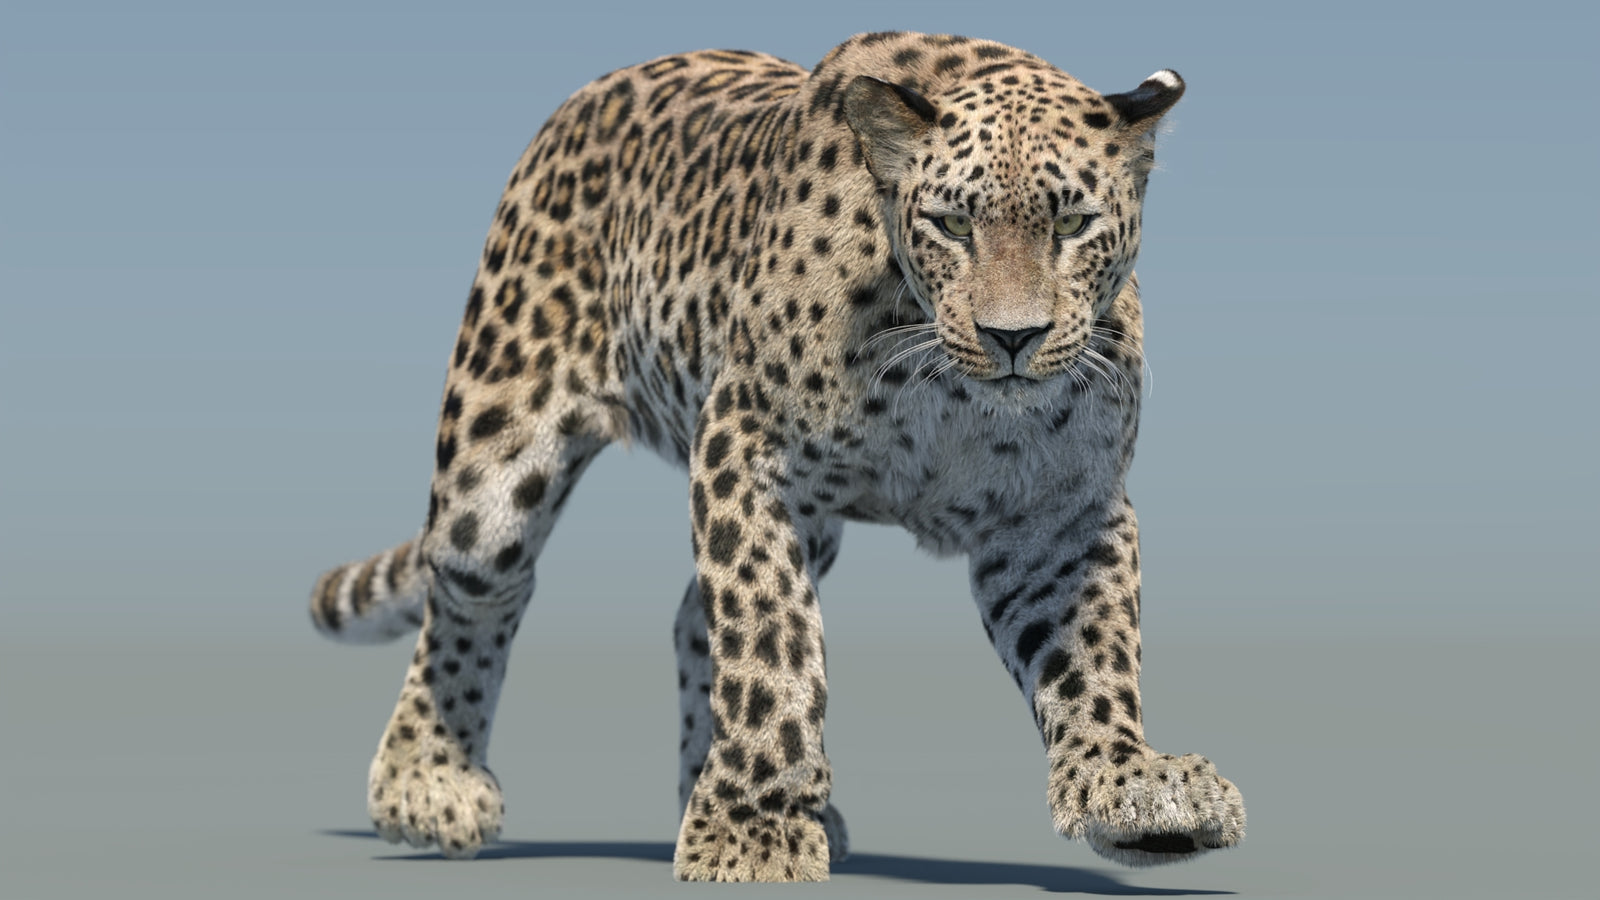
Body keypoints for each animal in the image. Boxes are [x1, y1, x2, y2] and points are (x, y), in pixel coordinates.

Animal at [308, 31, 1244, 882]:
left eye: (1073, 225)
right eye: (952, 225)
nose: (1012, 337)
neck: (946, 388)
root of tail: (590, 91)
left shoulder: (1060, 509)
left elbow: (1092, 649)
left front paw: (1131, 785)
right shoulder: (745, 447)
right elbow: (769, 636)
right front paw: (752, 831)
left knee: (689, 618)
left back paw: (709, 788)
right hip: (496, 456)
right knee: (471, 590)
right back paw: (427, 781)